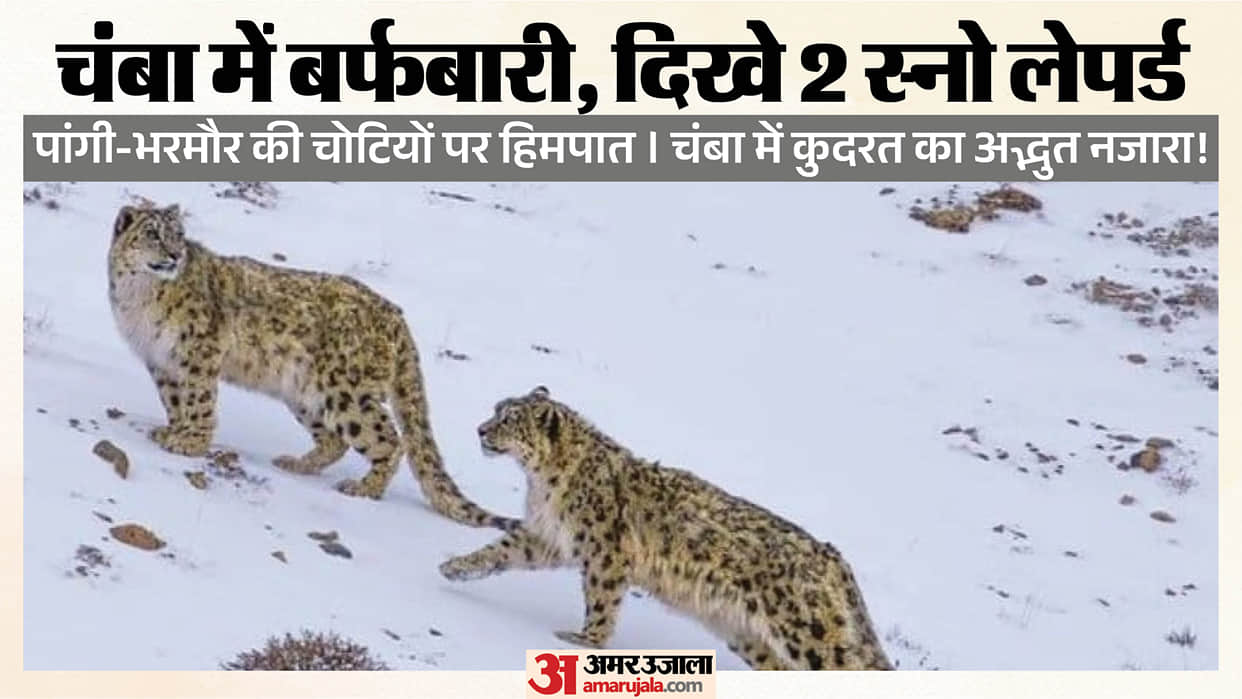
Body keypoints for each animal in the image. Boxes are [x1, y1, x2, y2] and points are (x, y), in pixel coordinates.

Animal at [107, 202, 517, 531]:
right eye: (152, 234)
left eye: (179, 235)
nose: (175, 255)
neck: (140, 299)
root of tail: (397, 319)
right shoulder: (160, 360)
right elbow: (175, 401)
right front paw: (172, 431)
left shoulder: (198, 354)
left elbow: (198, 401)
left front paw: (190, 443)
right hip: (305, 394)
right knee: (335, 439)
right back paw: (295, 464)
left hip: (346, 392)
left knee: (387, 438)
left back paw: (361, 488)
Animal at [439, 386, 892, 670]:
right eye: (496, 409)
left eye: (509, 419)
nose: (481, 430)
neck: (543, 483)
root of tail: (832, 556)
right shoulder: (546, 536)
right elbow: (501, 551)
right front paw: (454, 568)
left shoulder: (604, 552)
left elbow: (601, 602)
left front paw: (584, 642)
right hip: (748, 635)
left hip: (807, 632)